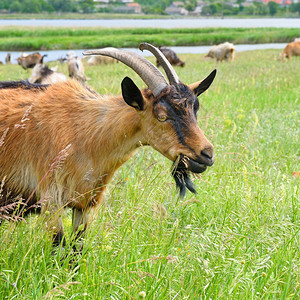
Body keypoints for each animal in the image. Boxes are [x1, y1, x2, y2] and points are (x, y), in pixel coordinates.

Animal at [0, 42, 216, 246]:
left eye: (195, 109)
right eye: (161, 116)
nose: (207, 154)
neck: (86, 131)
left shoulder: (85, 203)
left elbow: (75, 251)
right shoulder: (51, 200)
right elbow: (59, 247)